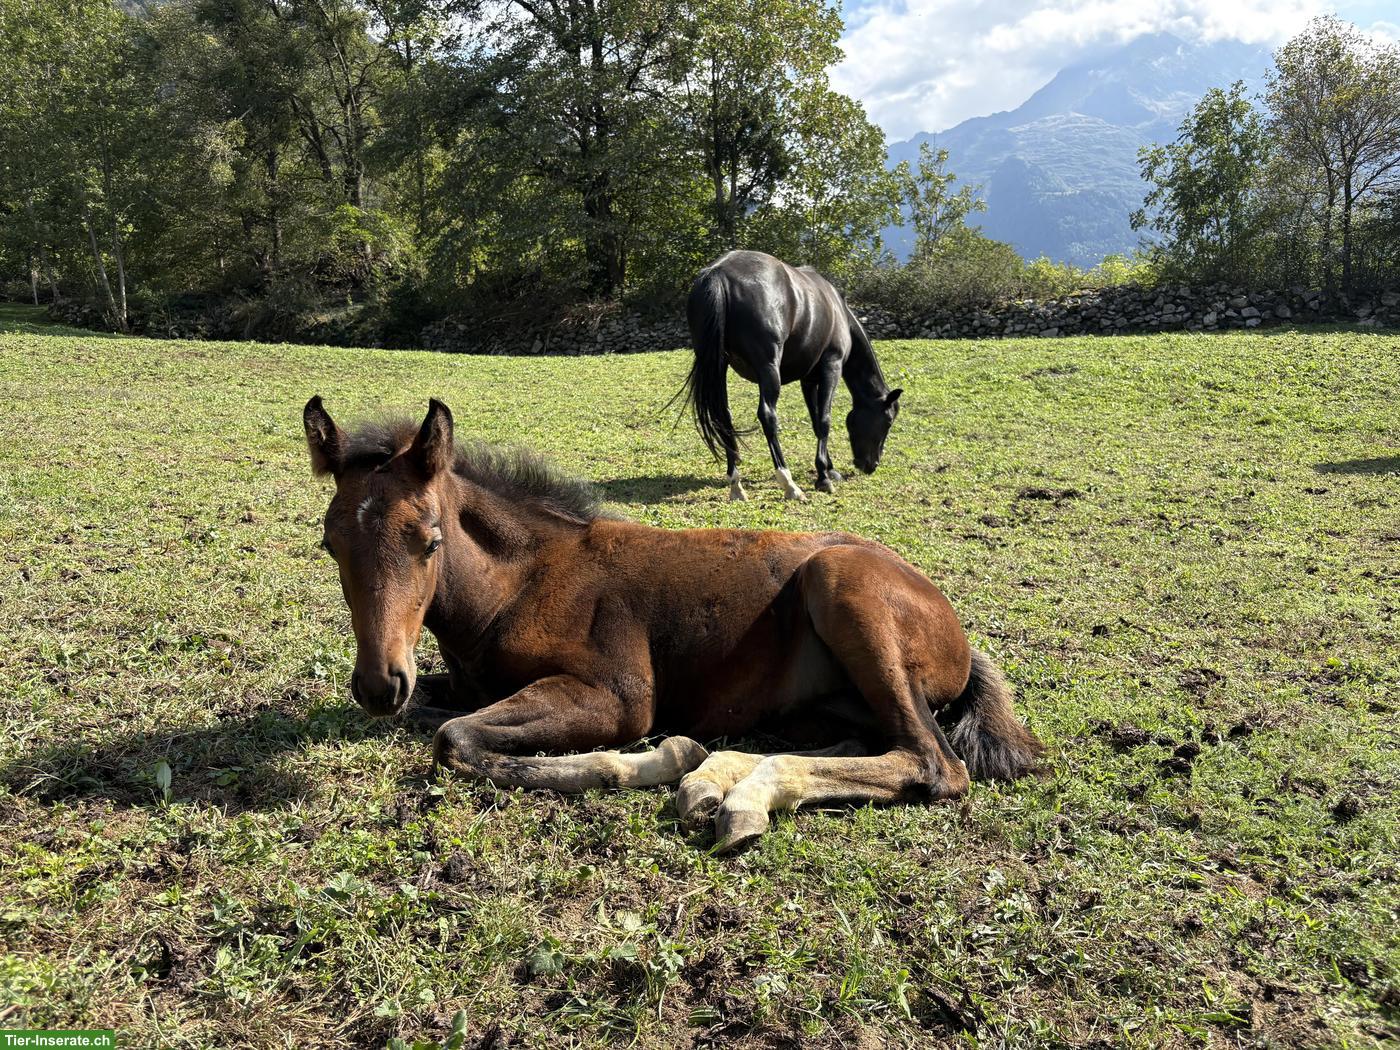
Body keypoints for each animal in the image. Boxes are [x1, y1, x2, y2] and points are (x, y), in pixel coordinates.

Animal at [303, 396, 1042, 852]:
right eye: (329, 543)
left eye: (429, 540)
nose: (378, 685)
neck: (522, 580)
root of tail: (957, 632)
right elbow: (442, 712)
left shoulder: (618, 696)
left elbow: (456, 738)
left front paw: (656, 758)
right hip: (831, 701)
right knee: (864, 743)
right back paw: (727, 784)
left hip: (844, 588)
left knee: (931, 762)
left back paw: (726, 785)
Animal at [682, 249, 902, 501]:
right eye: (888, 421)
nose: (871, 465)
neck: (838, 312)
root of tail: (718, 273)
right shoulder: (831, 368)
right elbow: (824, 420)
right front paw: (823, 478)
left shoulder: (809, 381)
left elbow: (816, 421)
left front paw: (828, 469)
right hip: (768, 369)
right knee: (767, 415)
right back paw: (789, 483)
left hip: (719, 367)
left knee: (723, 416)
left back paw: (736, 483)